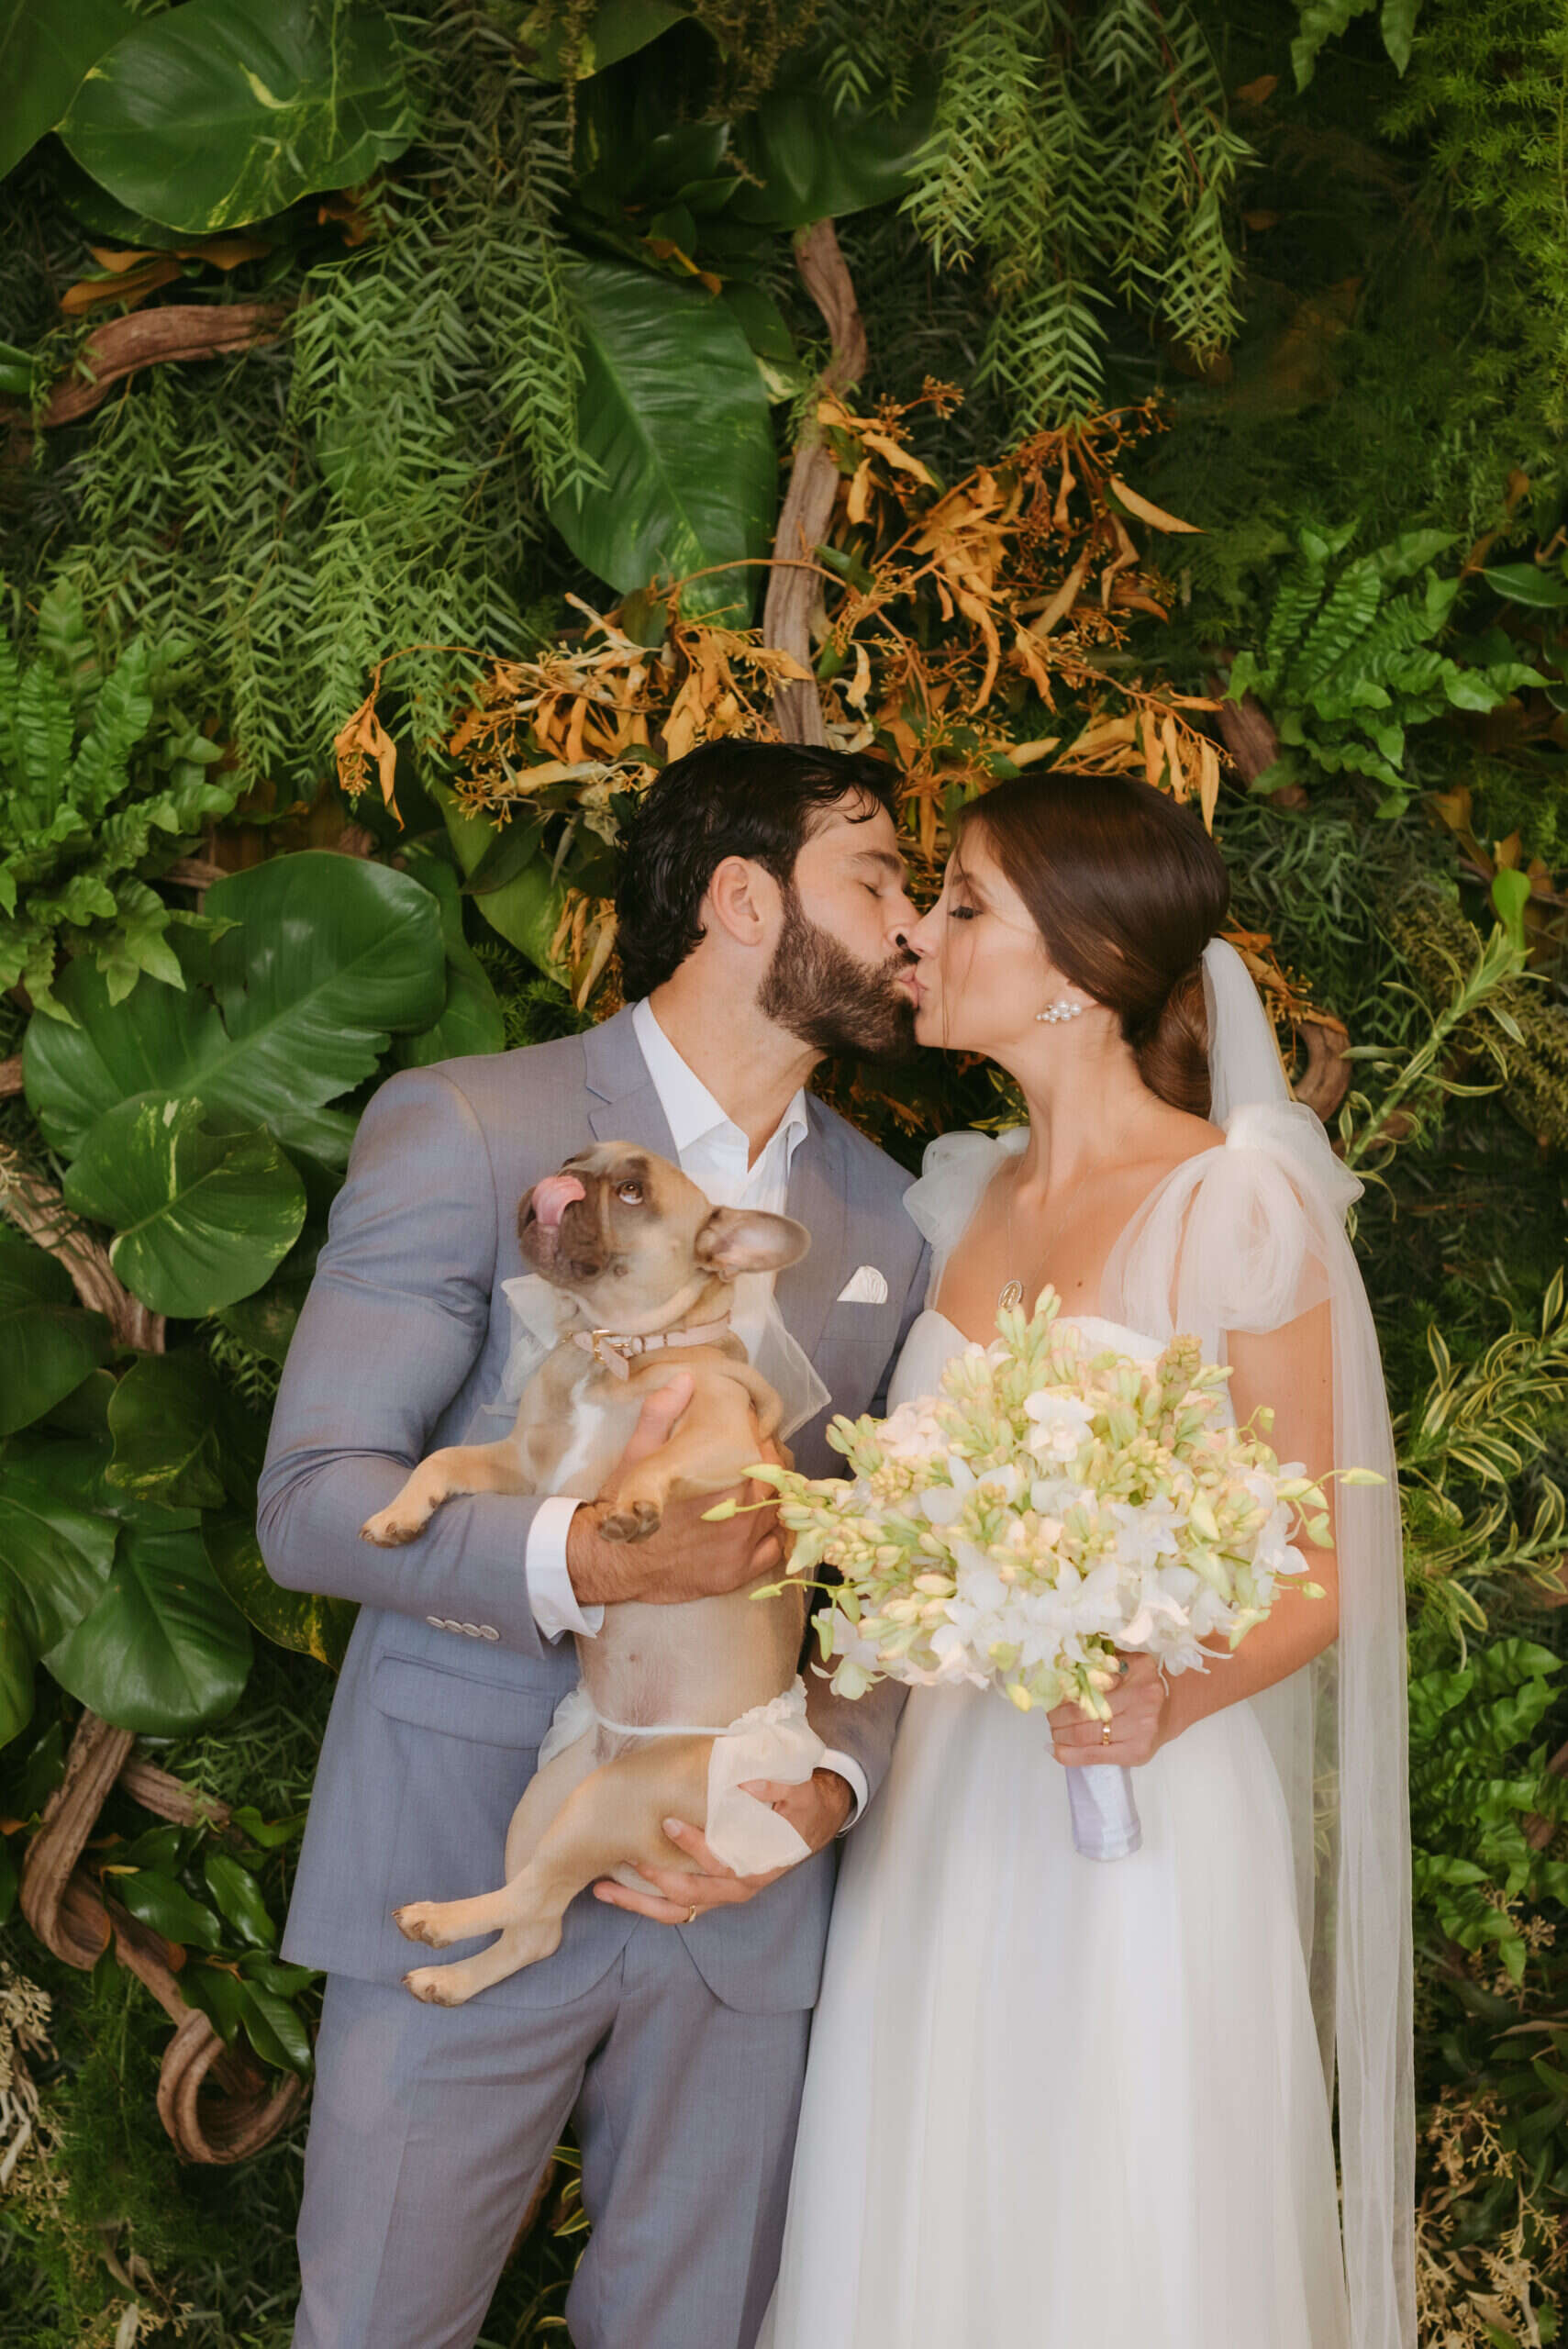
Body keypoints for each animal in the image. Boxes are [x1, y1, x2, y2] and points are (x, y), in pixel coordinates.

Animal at [359, 1141, 813, 2004]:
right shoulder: (529, 1473)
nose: (565, 1178)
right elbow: (445, 1458)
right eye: (578, 1157)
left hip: (615, 1800)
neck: (613, 1348)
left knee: (536, 1899)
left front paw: (634, 1502)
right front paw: (398, 1513)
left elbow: (662, 1458)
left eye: (632, 1191)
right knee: (536, 1920)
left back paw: (437, 1922)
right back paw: (452, 1973)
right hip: (546, 1803)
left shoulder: (725, 1440)